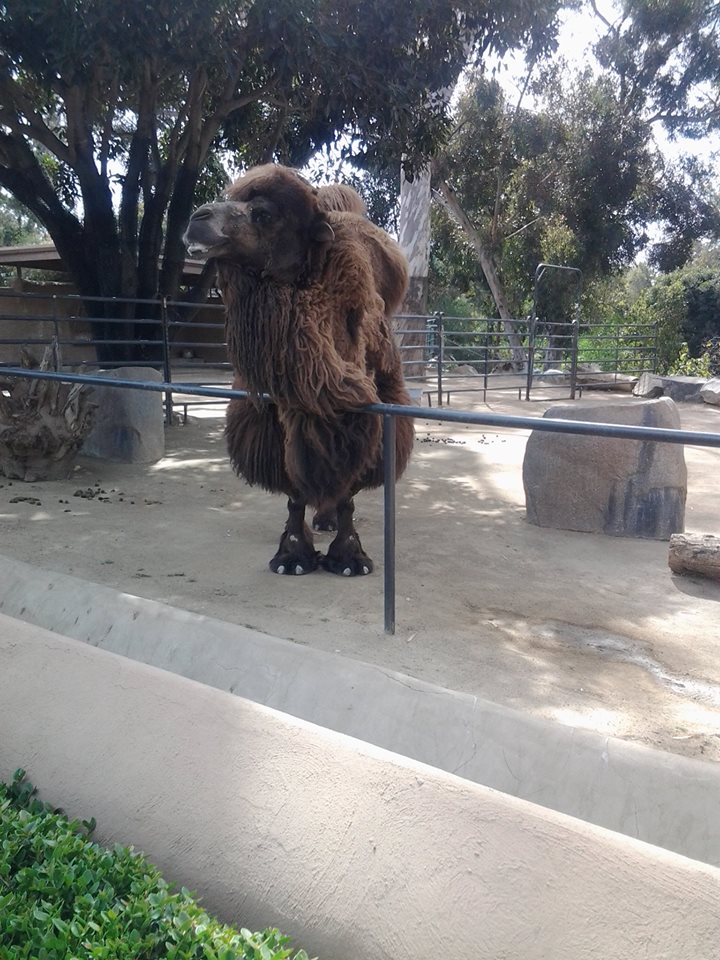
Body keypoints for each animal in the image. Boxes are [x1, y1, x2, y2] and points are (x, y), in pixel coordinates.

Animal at [183, 164, 414, 576]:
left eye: (263, 213)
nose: (198, 219)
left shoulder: (365, 414)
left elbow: (349, 492)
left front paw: (349, 559)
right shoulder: (272, 416)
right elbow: (293, 492)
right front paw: (292, 556)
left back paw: (328, 521)